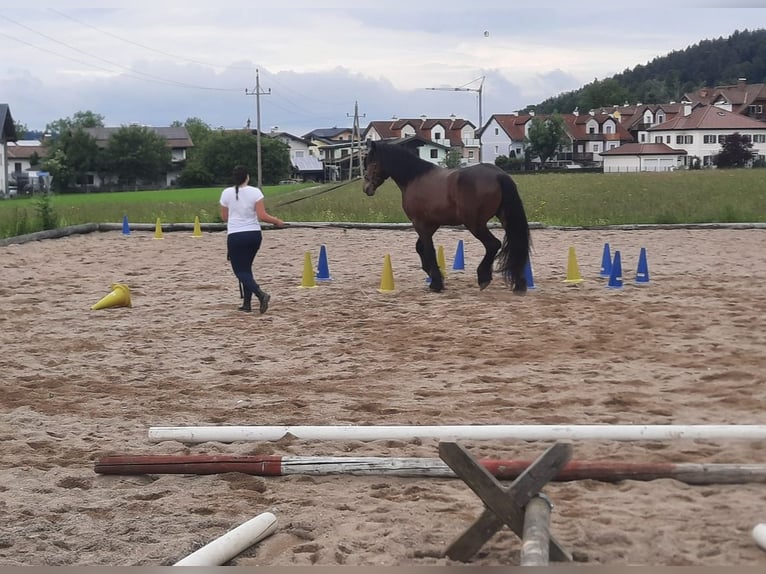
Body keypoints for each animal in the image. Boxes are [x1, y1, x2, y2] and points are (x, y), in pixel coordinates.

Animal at [364, 140, 532, 294]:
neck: (415, 178)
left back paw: (484, 277)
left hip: (475, 224)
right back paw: (519, 284)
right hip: (504, 219)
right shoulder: (431, 224)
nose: (366, 188)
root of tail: (499, 175)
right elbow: (420, 248)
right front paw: (433, 274)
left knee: (493, 244)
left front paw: (436, 283)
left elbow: (429, 250)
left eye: (372, 162)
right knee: (515, 244)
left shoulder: (420, 223)